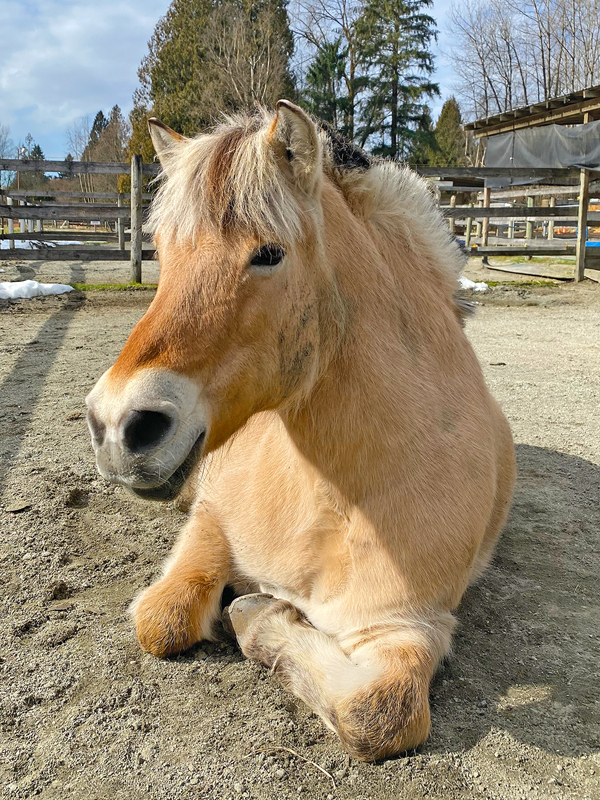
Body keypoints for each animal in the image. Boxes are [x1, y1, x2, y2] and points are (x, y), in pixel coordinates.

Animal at [86, 100, 516, 761]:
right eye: (159, 248)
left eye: (269, 253)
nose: (117, 425)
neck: (337, 498)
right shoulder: (213, 518)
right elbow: (162, 619)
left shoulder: (409, 623)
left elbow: (376, 713)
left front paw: (259, 615)